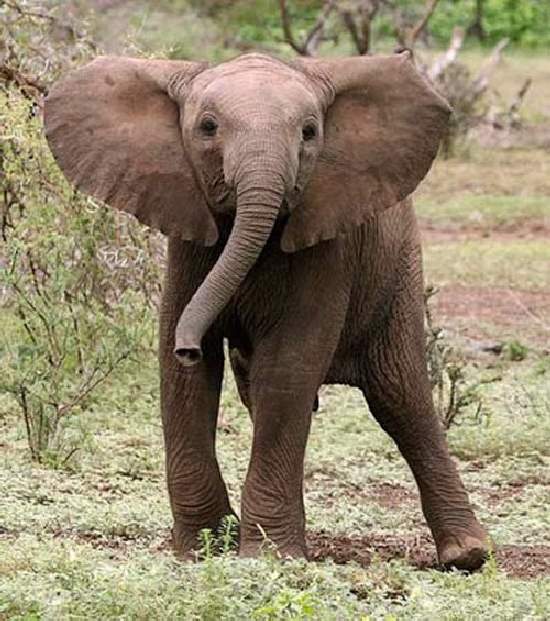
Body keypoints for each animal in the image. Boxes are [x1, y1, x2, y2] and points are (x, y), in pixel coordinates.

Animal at [45, 52, 490, 568]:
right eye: (208, 127)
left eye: (310, 132)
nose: (187, 347)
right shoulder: (189, 239)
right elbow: (186, 379)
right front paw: (203, 548)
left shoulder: (327, 242)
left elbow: (288, 368)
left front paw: (268, 557)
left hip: (398, 268)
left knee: (401, 396)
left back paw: (466, 555)